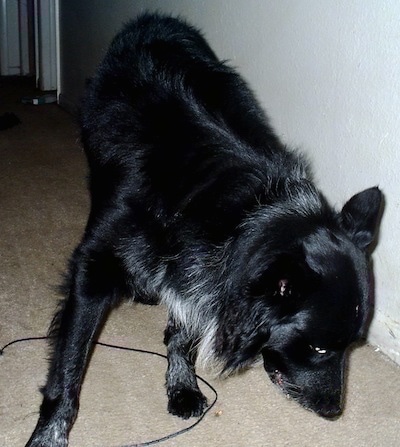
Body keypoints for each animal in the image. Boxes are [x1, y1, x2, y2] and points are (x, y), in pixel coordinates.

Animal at [26, 12, 382, 446]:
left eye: (353, 346)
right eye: (317, 349)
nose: (334, 412)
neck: (236, 211)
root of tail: (154, 20)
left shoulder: (199, 269)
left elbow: (183, 330)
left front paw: (182, 385)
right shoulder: (94, 268)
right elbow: (70, 366)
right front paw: (48, 434)